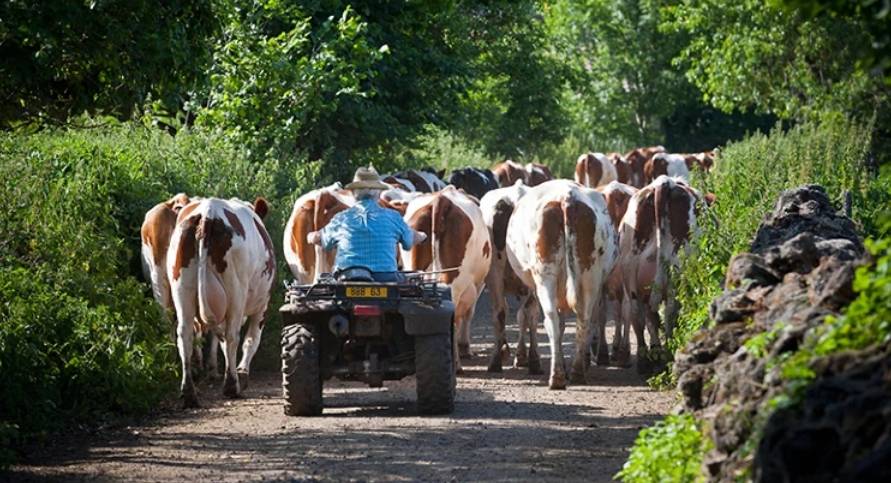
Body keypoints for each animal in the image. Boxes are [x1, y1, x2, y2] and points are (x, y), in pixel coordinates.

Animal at [400, 187, 492, 372]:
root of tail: (441, 200)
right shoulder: (478, 284)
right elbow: (469, 313)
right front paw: (464, 348)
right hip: (454, 281)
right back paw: (456, 364)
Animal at [478, 182, 540, 374]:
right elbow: (522, 316)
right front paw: (520, 356)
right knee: (530, 313)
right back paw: (534, 360)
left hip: (495, 273)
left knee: (500, 311)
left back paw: (496, 361)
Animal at [506, 181, 616, 390]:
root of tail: (567, 198)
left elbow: (533, 315)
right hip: (590, 276)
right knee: (584, 320)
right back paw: (577, 372)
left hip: (545, 275)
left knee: (551, 320)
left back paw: (556, 376)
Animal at [612, 176, 704, 372]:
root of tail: (664, 182)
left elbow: (650, 318)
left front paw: (654, 350)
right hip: (677, 271)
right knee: (670, 312)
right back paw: (668, 356)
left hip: (630, 269)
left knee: (637, 313)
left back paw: (644, 361)